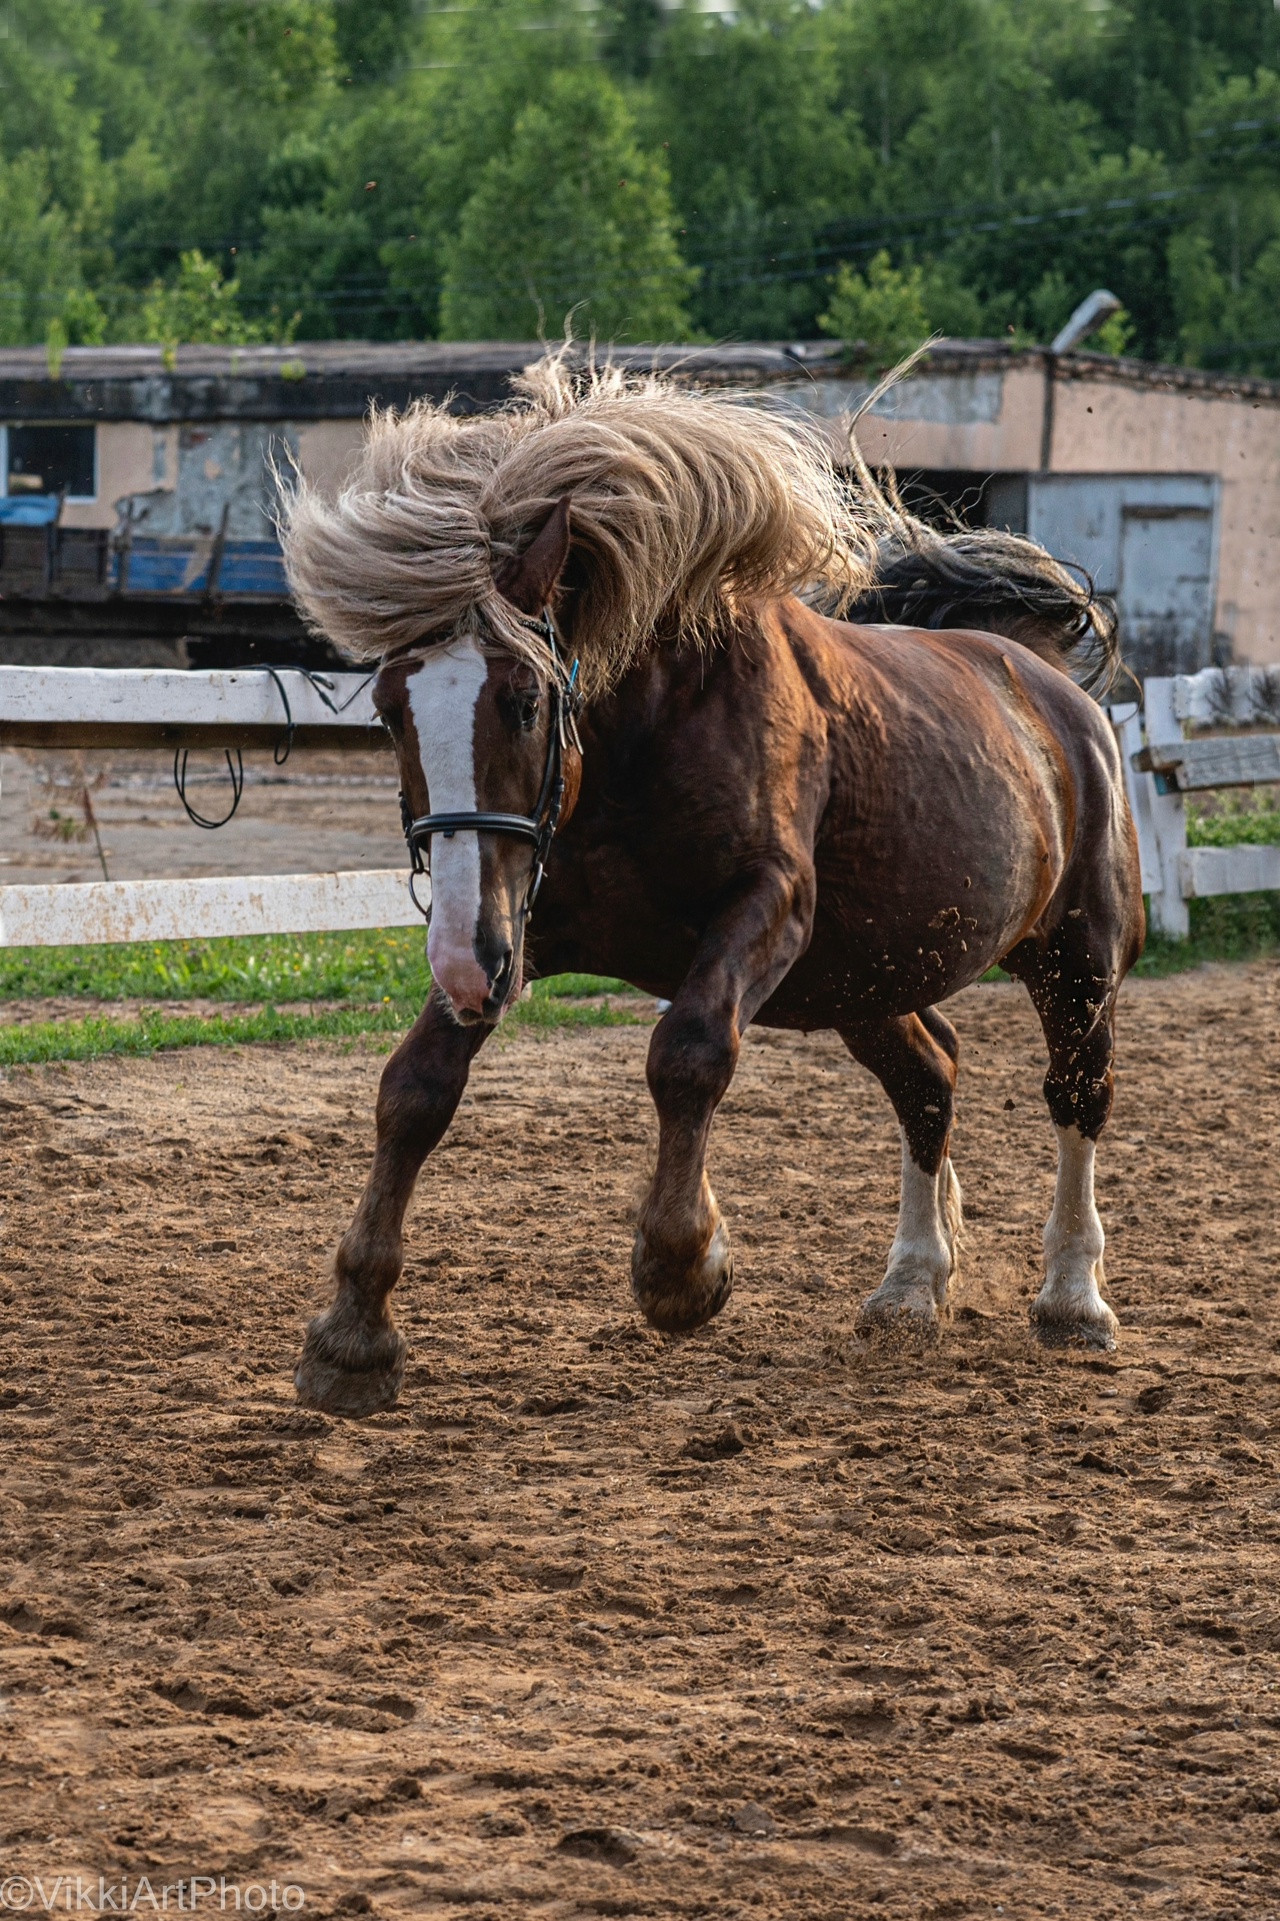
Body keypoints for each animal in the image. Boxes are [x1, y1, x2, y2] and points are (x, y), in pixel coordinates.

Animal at [279, 354, 1144, 1418]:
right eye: (389, 710)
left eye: (523, 702)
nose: (463, 959)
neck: (644, 735)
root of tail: (1050, 685)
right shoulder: (522, 923)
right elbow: (415, 1090)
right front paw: (353, 1332)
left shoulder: (762, 910)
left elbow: (688, 1053)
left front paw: (684, 1266)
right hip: (867, 981)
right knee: (930, 1082)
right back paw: (910, 1286)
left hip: (1076, 961)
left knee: (1078, 1095)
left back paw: (1073, 1298)